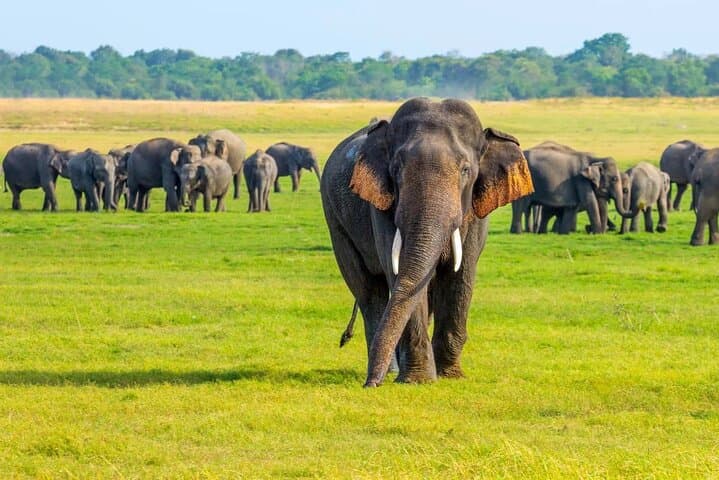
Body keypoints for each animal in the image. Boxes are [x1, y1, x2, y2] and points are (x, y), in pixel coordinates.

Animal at [321, 97, 533, 387]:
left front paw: (450, 376)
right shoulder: (382, 205)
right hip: (336, 222)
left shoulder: (475, 213)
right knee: (369, 291)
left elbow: (461, 276)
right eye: (396, 169)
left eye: (466, 170)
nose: (369, 385)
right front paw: (418, 380)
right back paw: (390, 371)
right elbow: (400, 274)